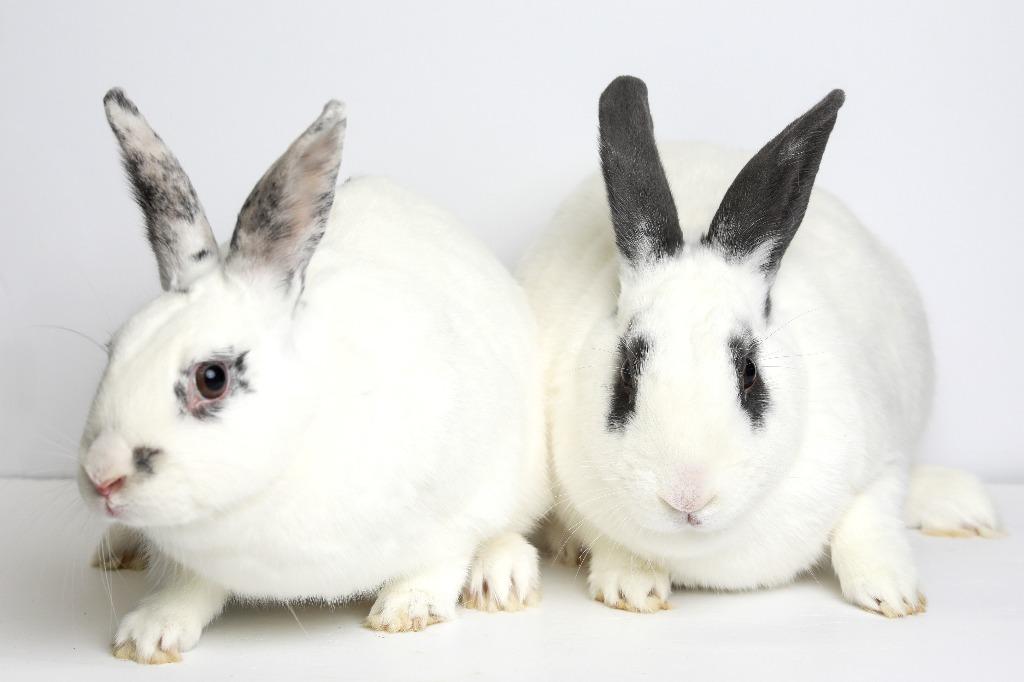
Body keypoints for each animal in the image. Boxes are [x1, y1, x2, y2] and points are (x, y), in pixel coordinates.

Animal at [78, 88, 549, 664]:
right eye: (113, 349)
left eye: (212, 377)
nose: (101, 474)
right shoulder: (190, 560)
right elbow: (186, 587)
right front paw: (148, 636)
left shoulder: (459, 505)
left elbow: (441, 560)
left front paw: (407, 611)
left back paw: (502, 579)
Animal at [519, 76, 1000, 618]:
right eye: (625, 374)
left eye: (749, 371)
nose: (687, 497)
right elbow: (611, 542)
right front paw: (632, 587)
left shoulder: (883, 459)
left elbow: (868, 520)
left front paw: (891, 593)